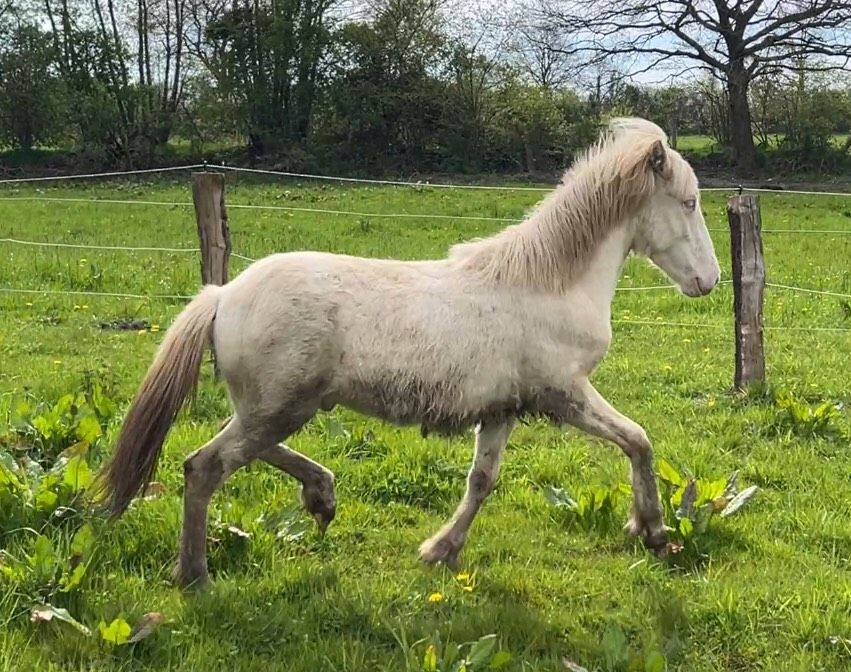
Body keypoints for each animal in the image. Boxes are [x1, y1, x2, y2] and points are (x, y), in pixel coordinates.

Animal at [95, 118, 720, 584]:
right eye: (689, 203)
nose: (709, 281)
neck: (549, 283)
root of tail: (223, 295)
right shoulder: (563, 393)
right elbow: (638, 439)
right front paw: (653, 531)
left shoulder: (503, 409)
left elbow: (482, 481)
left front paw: (440, 550)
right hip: (280, 407)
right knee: (204, 466)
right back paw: (195, 575)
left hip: (277, 407)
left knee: (241, 453)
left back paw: (321, 497)